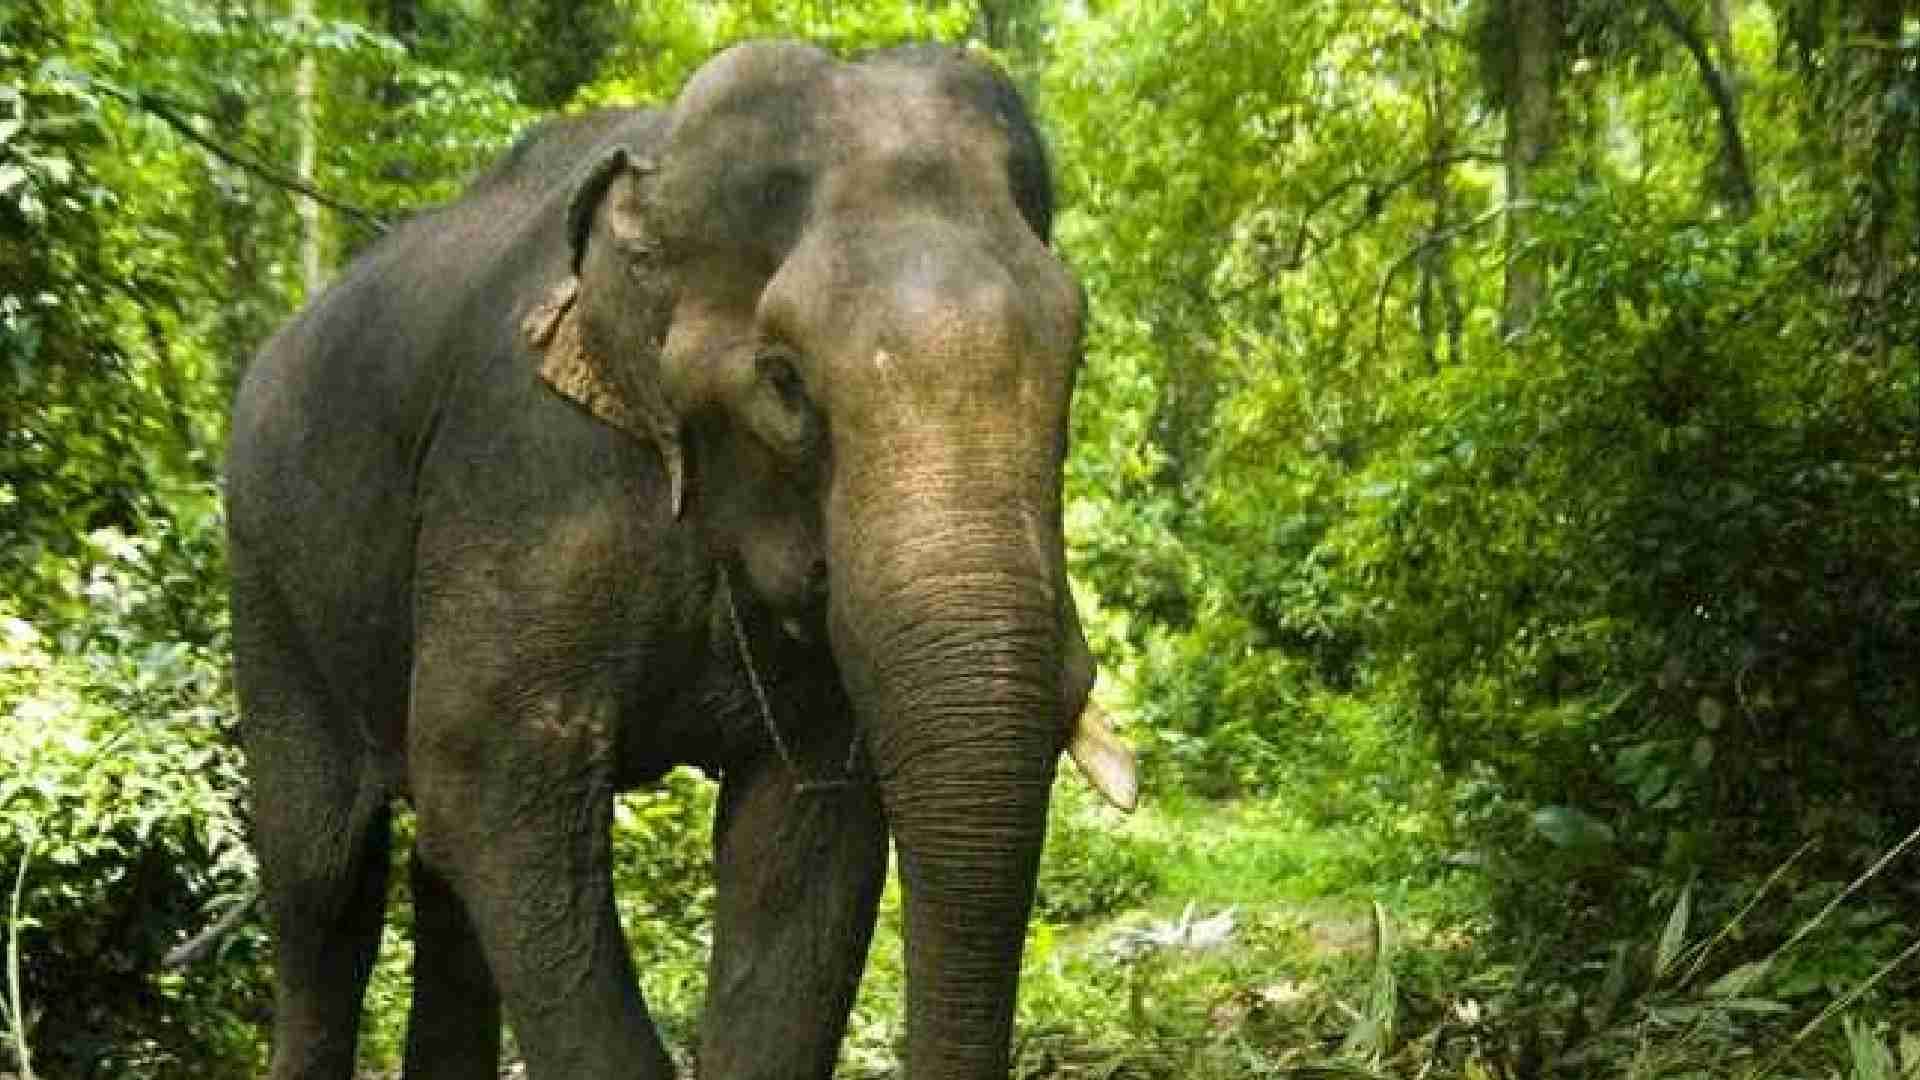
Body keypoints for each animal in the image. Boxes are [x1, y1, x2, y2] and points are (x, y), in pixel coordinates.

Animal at [225, 39, 1137, 1080]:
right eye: (784, 382)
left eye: (1074, 358)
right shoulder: (525, 471)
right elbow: (488, 772)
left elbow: (803, 841)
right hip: (264, 572)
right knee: (324, 874)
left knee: (436, 884)